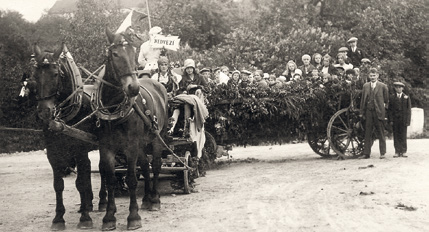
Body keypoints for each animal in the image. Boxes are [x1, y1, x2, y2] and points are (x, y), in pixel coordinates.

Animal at [32, 43, 98, 230]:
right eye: (34, 75)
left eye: (55, 74)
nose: (44, 111)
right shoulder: (53, 152)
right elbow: (58, 185)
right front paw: (58, 218)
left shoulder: (80, 150)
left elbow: (80, 183)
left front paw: (85, 218)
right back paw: (87, 204)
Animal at [92, 29, 167, 230]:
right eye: (115, 54)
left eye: (133, 53)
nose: (133, 88)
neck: (112, 111)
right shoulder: (106, 147)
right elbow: (110, 179)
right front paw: (109, 217)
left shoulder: (130, 146)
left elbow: (131, 179)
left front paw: (133, 216)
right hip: (141, 143)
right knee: (146, 165)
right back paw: (147, 199)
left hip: (156, 137)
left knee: (156, 165)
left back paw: (155, 199)